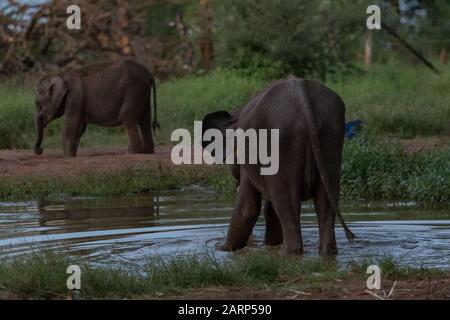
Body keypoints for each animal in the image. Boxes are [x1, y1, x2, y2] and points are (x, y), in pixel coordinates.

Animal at [203, 77, 356, 255]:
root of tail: (303, 100)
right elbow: (270, 210)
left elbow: (248, 208)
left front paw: (220, 248)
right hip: (331, 138)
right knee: (325, 208)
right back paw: (326, 253)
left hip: (281, 144)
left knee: (287, 210)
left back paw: (286, 254)